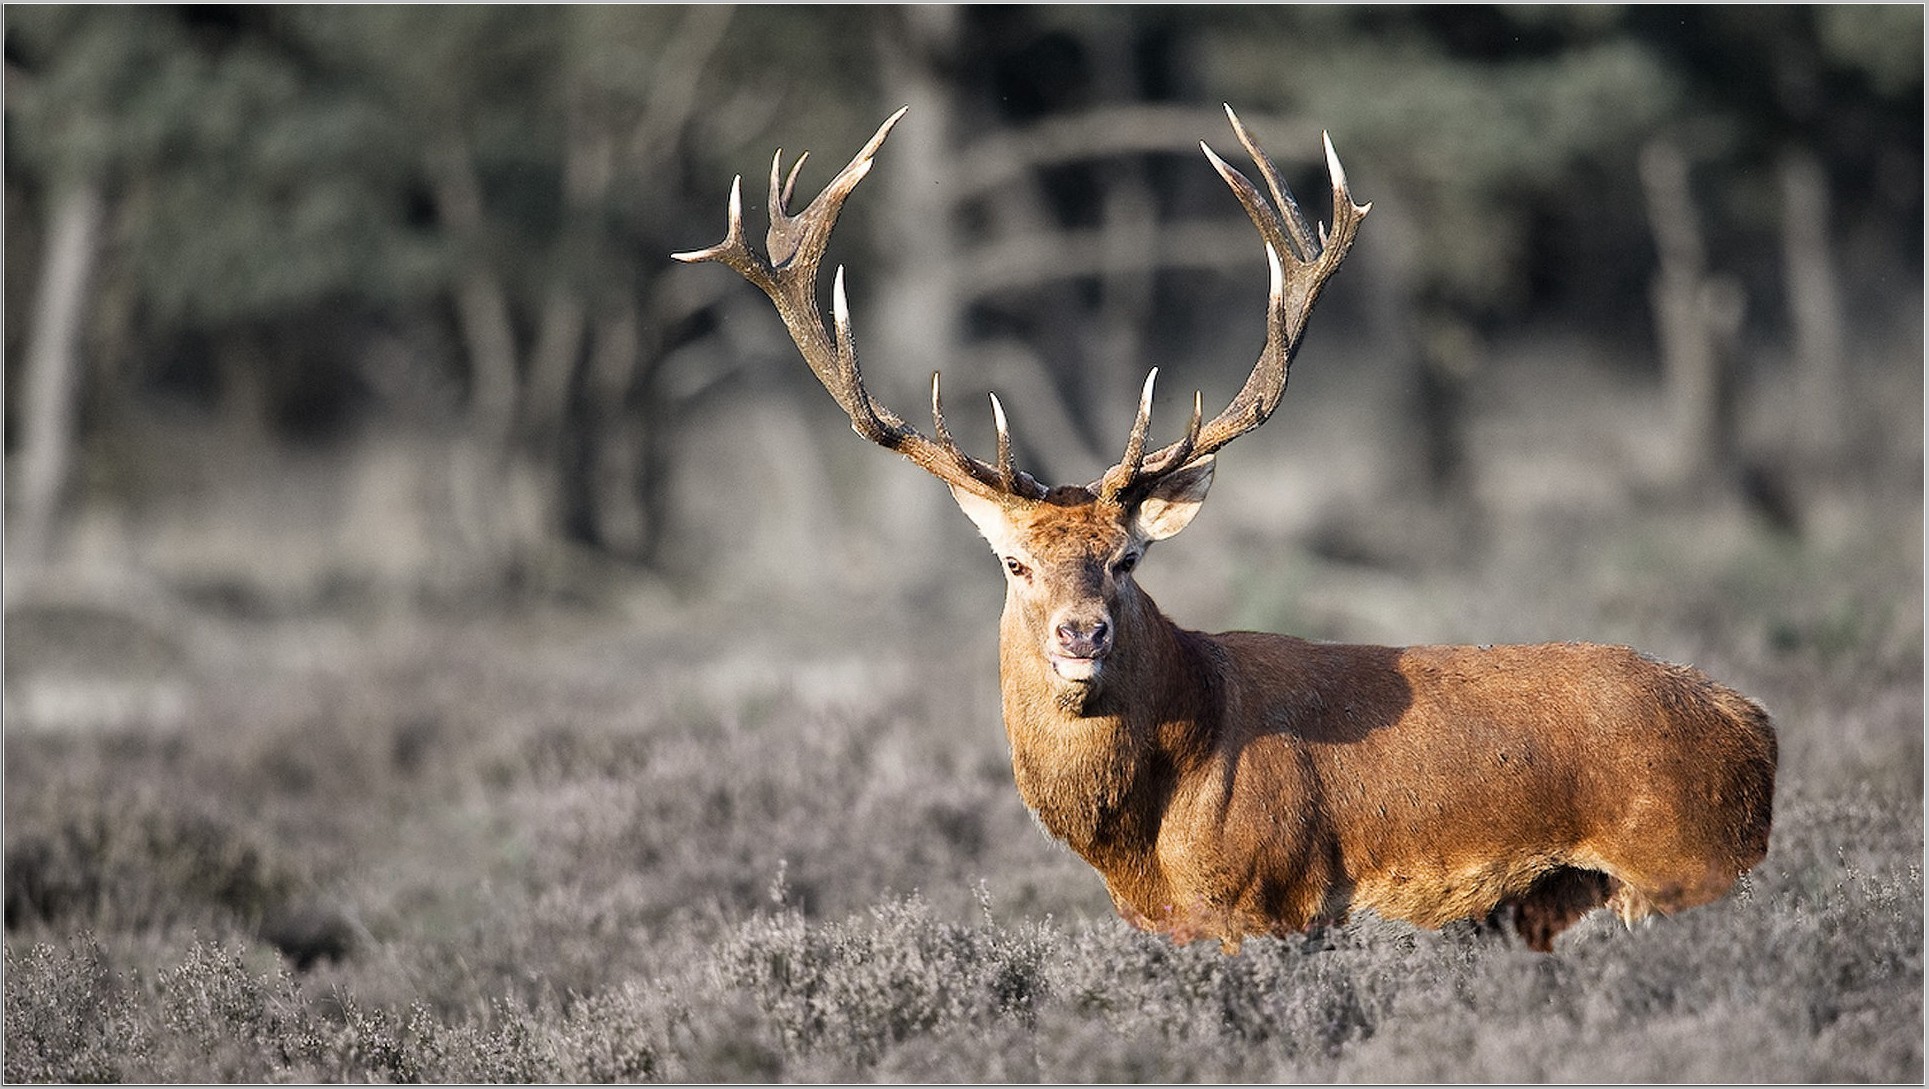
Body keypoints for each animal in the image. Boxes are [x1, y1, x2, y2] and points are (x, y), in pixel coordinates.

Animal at [674, 107, 1778, 954]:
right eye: (1016, 563)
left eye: (1126, 559)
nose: (1081, 634)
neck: (1143, 839)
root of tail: (1756, 728)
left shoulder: (1266, 901)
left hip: (1682, 863)